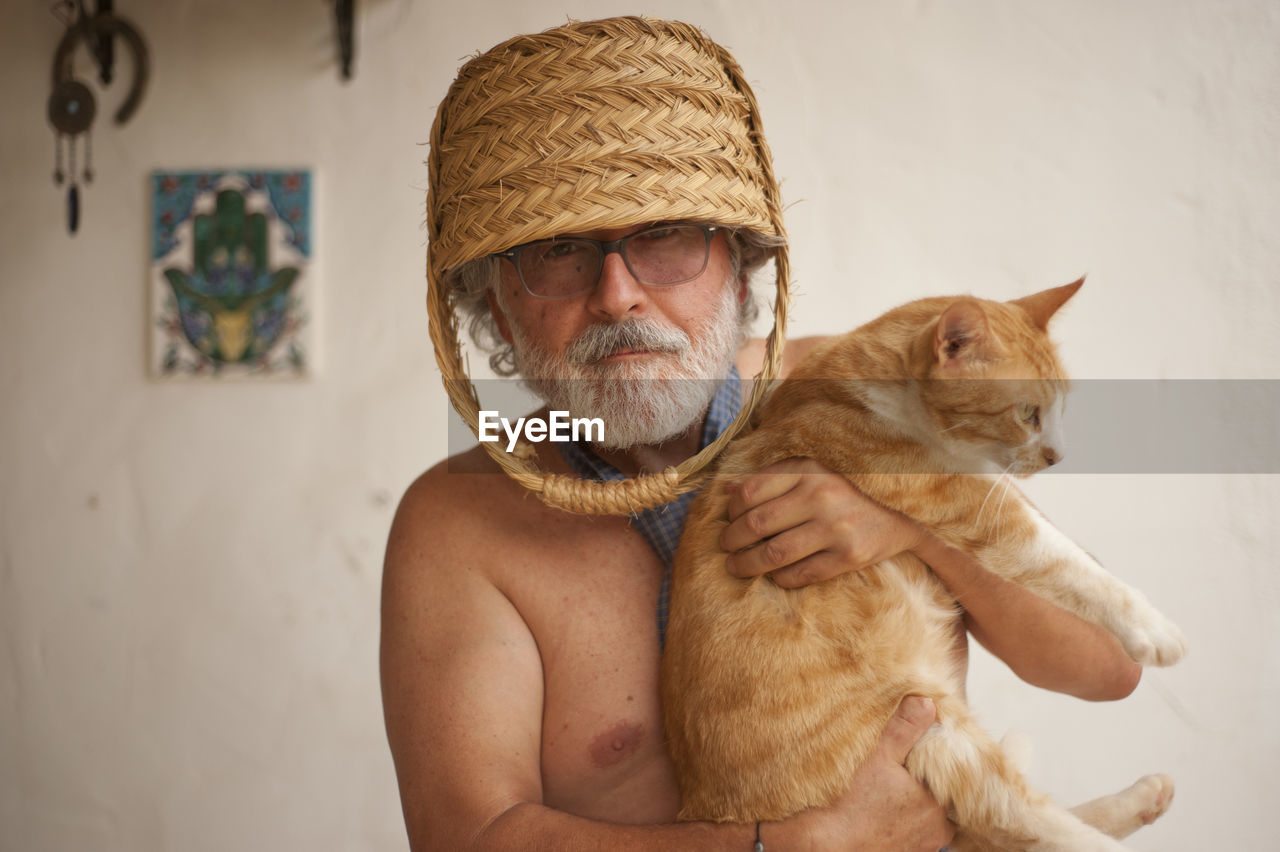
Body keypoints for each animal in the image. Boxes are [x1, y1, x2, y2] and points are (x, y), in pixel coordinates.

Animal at [665, 284, 1182, 849]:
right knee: (1022, 821)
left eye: (1062, 408)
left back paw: (1147, 797)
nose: (1057, 457)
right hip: (930, 723)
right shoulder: (971, 504)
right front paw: (1154, 630)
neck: (869, 387)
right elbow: (1060, 559)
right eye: (1028, 413)